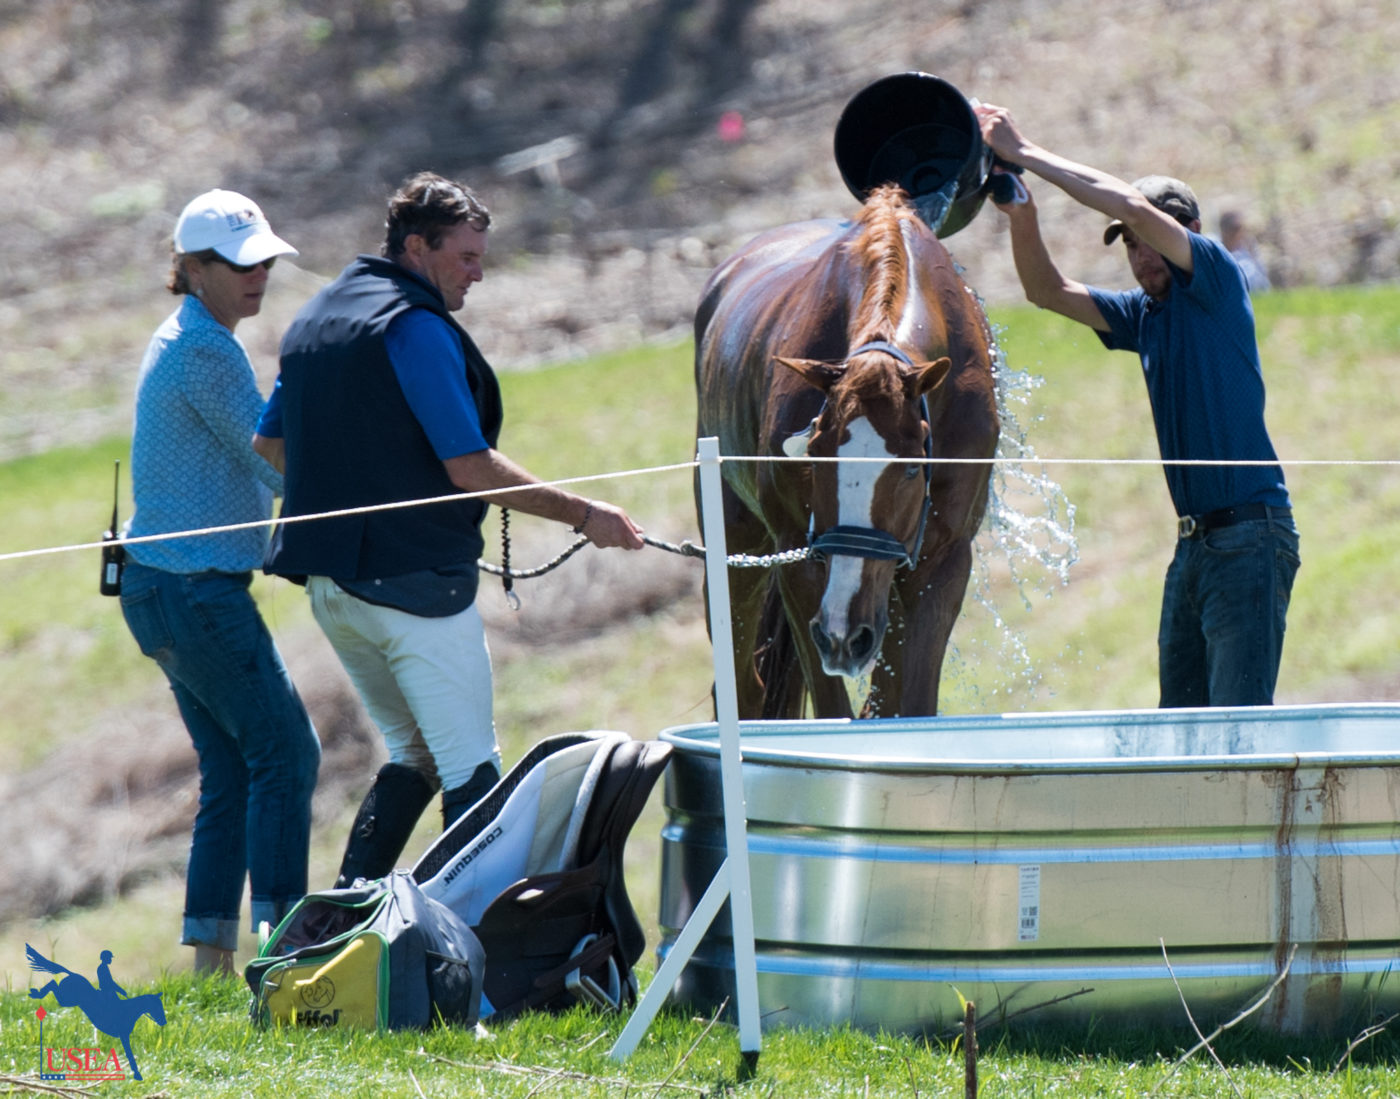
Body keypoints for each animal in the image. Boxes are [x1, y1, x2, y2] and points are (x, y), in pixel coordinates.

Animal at [694, 184, 1002, 722]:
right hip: (736, 549)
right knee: (745, 689)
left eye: (912, 470)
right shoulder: (798, 560)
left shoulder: (941, 561)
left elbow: (907, 705)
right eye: (814, 455)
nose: (843, 632)